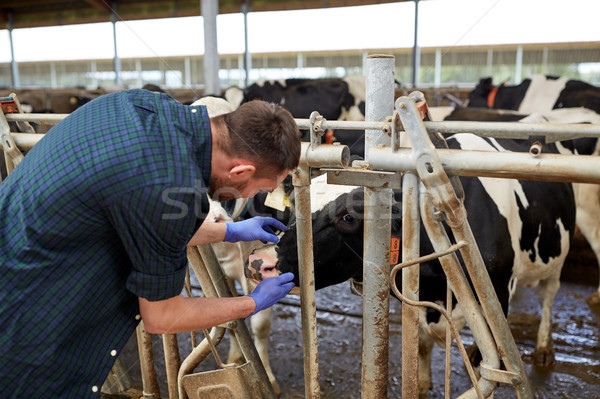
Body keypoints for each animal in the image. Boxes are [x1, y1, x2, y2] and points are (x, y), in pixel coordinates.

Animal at [246, 134, 576, 396]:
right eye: (293, 205)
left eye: (349, 217)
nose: (259, 261)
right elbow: (419, 345)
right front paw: (421, 385)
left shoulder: (498, 295)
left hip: (558, 257)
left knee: (549, 295)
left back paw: (544, 348)